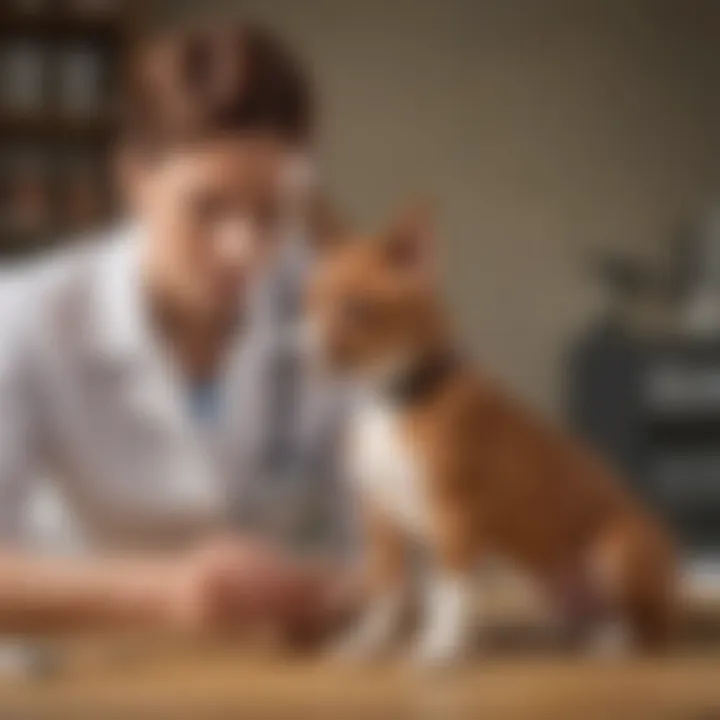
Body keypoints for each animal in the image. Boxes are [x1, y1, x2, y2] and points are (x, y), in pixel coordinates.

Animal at [306, 202, 676, 664]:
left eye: (358, 308)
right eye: (311, 302)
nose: (305, 351)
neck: (397, 399)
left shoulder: (456, 516)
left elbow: (450, 592)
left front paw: (440, 646)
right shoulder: (382, 521)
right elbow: (386, 591)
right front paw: (365, 641)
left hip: (619, 552)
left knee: (648, 625)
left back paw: (614, 642)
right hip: (551, 584)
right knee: (593, 615)